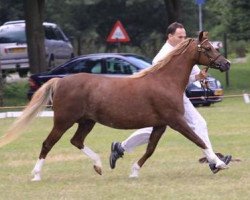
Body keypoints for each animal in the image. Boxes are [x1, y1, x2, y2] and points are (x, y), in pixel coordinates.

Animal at [0, 31, 230, 181]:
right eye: (207, 48)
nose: (226, 63)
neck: (165, 81)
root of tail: (59, 80)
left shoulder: (160, 124)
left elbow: (150, 149)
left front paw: (134, 171)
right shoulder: (175, 121)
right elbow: (199, 140)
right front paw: (218, 163)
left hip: (86, 122)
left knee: (76, 141)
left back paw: (99, 165)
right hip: (63, 121)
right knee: (48, 144)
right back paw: (36, 175)